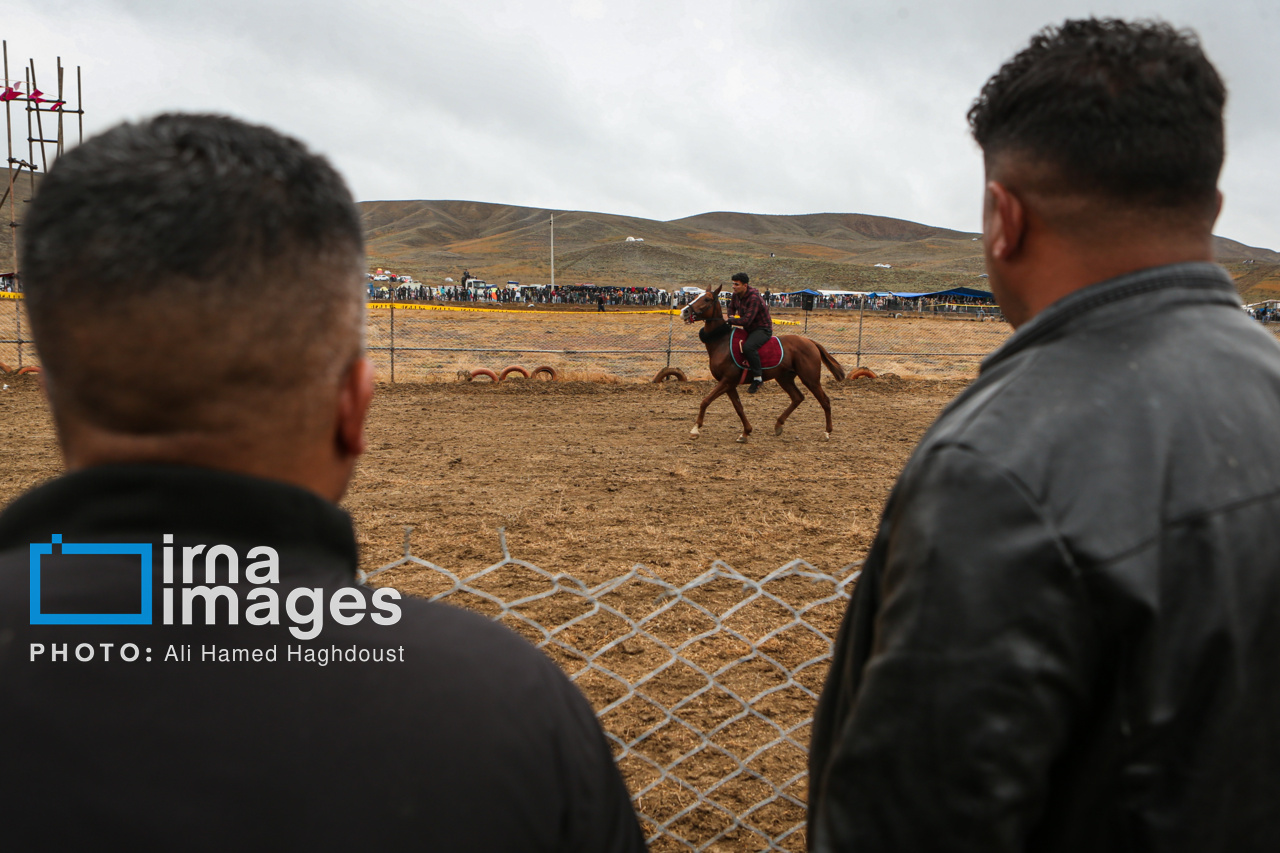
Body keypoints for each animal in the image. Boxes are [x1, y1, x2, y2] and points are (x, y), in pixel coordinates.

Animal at [680, 286, 849, 440]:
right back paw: (779, 424)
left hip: (810, 379)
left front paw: (695, 429)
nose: (684, 311)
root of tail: (810, 342)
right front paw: (746, 432)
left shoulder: (727, 381)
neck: (721, 341)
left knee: (825, 401)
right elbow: (738, 407)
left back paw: (827, 432)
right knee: (797, 397)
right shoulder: (729, 384)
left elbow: (705, 401)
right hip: (784, 378)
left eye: (707, 299)